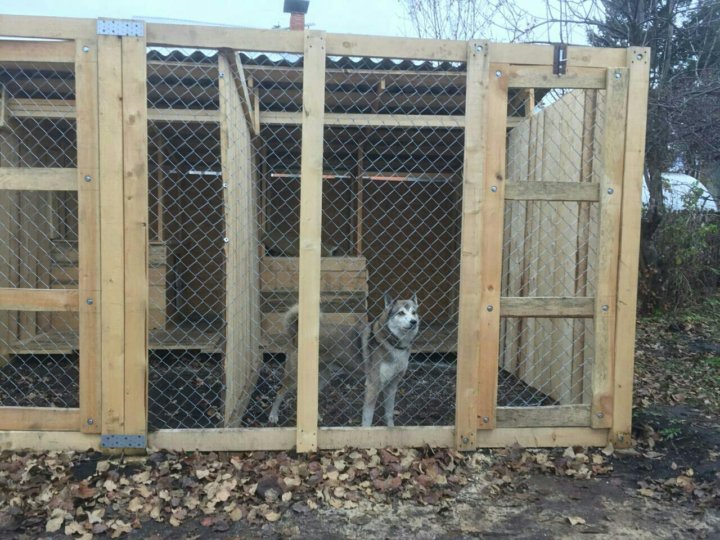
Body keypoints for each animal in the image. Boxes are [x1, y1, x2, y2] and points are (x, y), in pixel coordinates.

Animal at [268, 294, 420, 428]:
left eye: (414, 312)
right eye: (401, 313)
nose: (414, 322)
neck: (393, 344)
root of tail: (296, 333)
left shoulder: (392, 386)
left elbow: (389, 414)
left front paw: (391, 430)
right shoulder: (373, 385)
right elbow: (368, 418)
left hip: (322, 378)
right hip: (293, 376)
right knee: (280, 392)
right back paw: (273, 416)